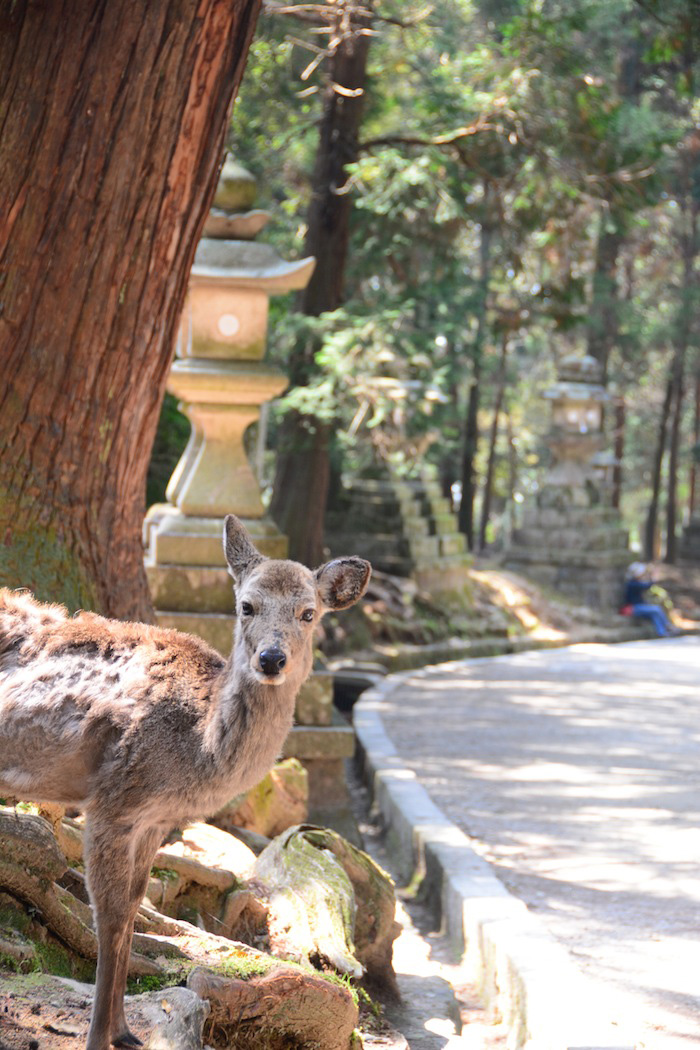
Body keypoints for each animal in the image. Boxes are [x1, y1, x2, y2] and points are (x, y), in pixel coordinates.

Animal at [0, 516, 371, 1050]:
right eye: (246, 605)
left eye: (308, 613)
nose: (271, 658)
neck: (197, 748)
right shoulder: (113, 801)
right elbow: (109, 915)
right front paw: (98, 1038)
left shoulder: (155, 819)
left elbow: (134, 907)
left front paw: (126, 1032)